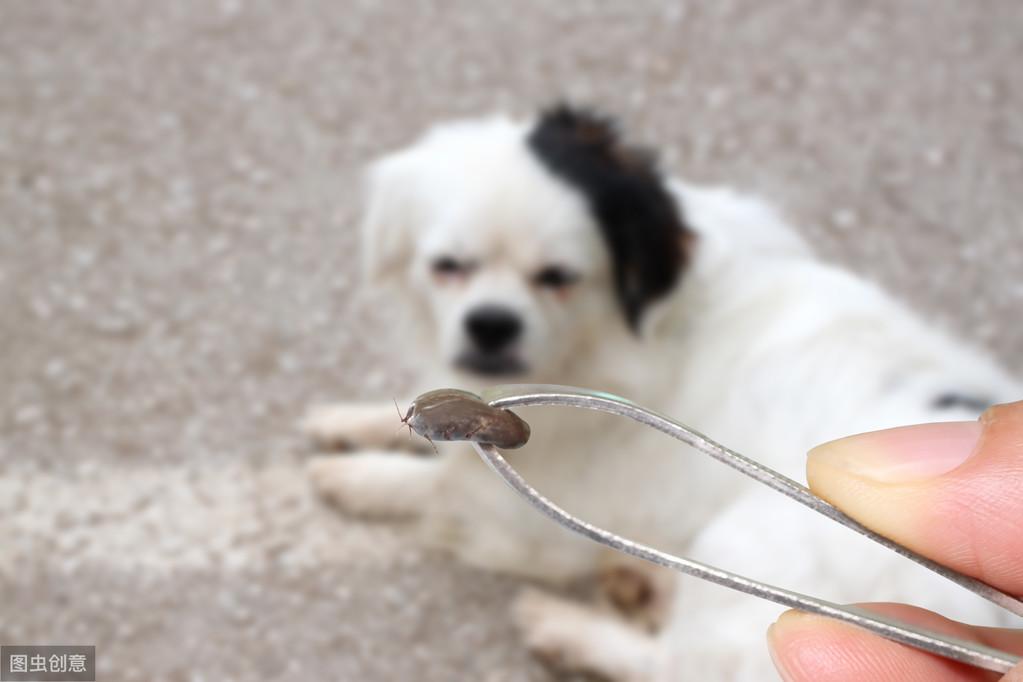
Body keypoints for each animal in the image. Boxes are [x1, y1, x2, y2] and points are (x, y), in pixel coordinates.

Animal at [298, 105, 1018, 678]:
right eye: (447, 267)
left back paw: (567, 627)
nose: (491, 323)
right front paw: (345, 421)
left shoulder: (521, 517)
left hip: (741, 539)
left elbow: (431, 485)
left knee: (673, 664)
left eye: (558, 277)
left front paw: (353, 477)